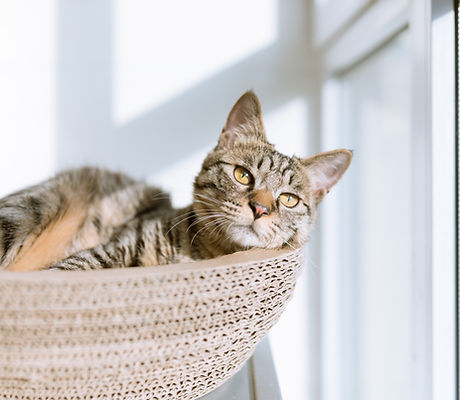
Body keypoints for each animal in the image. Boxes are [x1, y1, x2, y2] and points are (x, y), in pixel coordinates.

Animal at [0, 91, 352, 272]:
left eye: (289, 199)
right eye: (242, 175)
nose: (260, 209)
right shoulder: (105, 250)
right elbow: (68, 270)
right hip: (29, 209)